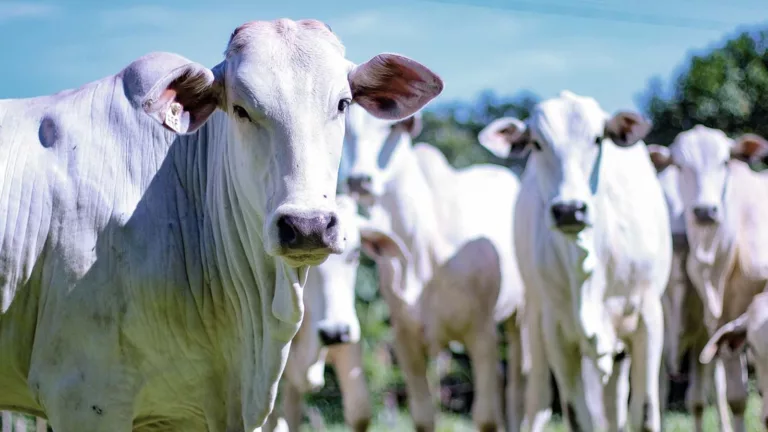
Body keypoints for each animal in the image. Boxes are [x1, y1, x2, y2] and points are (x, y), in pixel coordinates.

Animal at [342, 105, 528, 432]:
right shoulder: (405, 336)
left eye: (392, 128)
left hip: (518, 318)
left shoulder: (482, 331)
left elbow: (485, 417)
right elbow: (423, 416)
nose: (358, 180)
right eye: (347, 130)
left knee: (517, 387)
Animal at [480, 89, 672, 430]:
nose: (569, 210)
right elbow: (577, 415)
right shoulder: (556, 330)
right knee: (539, 400)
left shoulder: (648, 318)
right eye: (536, 143)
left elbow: (645, 412)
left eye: (597, 139)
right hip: (534, 318)